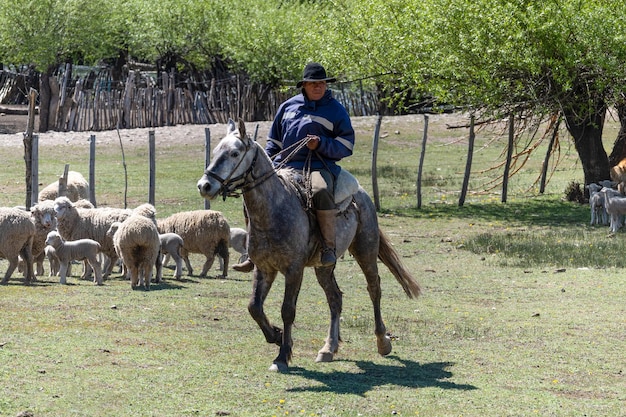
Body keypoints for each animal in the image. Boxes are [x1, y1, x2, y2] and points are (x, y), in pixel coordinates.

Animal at [195, 118, 420, 372]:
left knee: (374, 289)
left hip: (366, 250)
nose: (204, 186)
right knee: (335, 298)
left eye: (234, 153)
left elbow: (287, 310)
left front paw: (282, 356)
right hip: (324, 267)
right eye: (215, 151)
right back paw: (328, 348)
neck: (274, 210)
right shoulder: (264, 268)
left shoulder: (294, 270)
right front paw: (276, 336)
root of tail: (361, 193)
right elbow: (254, 307)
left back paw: (382, 341)